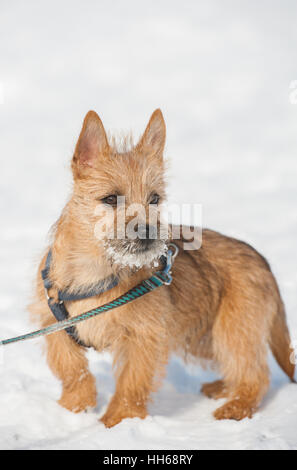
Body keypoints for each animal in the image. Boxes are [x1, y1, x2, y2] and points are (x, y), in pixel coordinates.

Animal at [28, 109, 294, 426]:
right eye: (110, 198)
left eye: (154, 198)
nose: (147, 231)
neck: (98, 269)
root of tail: (262, 260)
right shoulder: (53, 322)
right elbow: (69, 367)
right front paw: (74, 405)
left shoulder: (144, 336)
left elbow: (132, 382)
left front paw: (117, 422)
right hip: (203, 336)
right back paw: (222, 388)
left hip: (233, 330)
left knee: (255, 373)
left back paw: (236, 407)